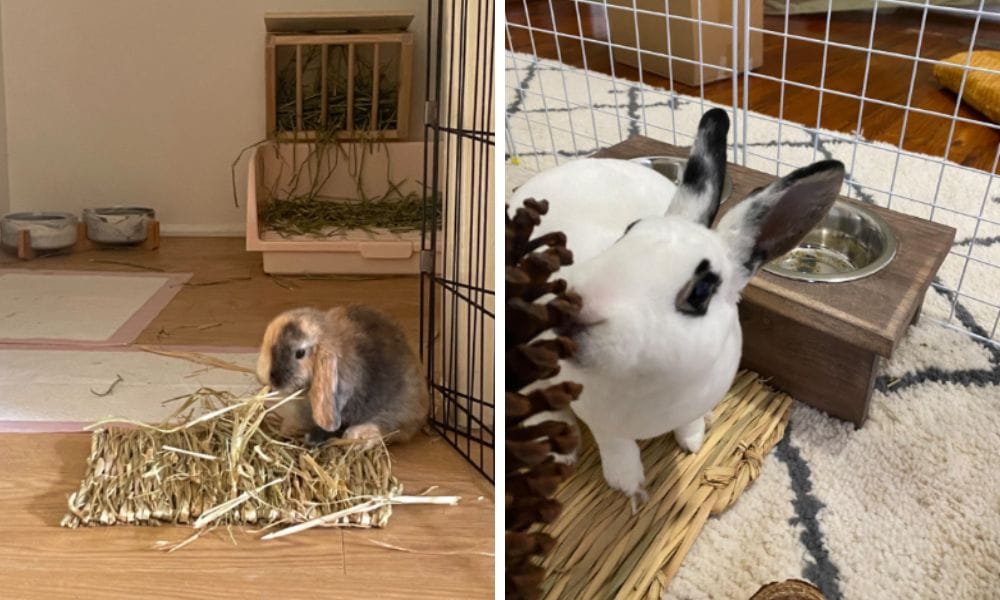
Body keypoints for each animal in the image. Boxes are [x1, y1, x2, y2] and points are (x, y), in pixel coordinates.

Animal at [257, 305, 429, 449]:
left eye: (300, 353)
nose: (270, 378)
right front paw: (289, 429)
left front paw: (311, 438)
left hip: (397, 410)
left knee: (387, 428)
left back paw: (357, 436)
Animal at [510, 108, 845, 511]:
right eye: (629, 232)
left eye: (700, 292)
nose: (571, 308)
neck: (654, 382)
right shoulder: (602, 422)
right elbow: (617, 447)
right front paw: (629, 487)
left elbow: (689, 425)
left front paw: (693, 443)